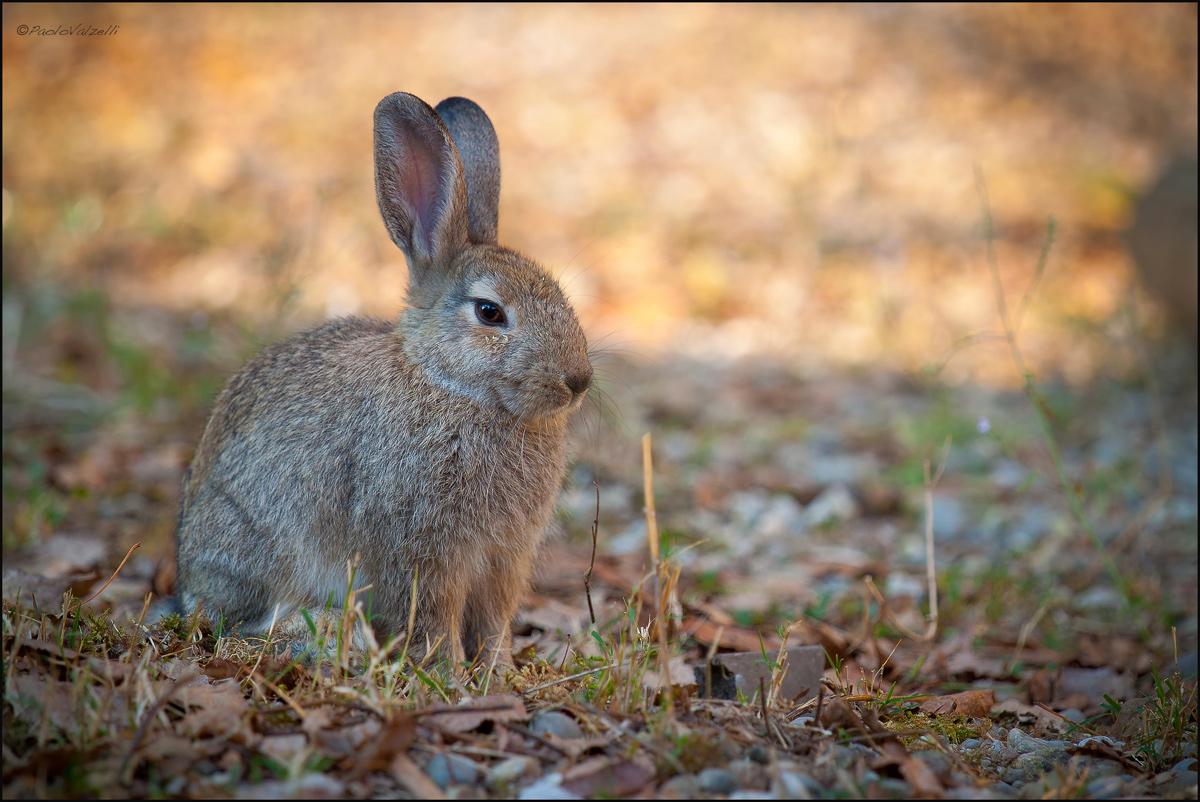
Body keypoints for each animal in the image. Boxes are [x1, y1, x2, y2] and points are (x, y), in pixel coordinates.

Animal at [174, 92, 594, 667]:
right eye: (489, 312)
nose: (579, 380)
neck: (449, 386)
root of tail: (186, 570)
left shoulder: (503, 559)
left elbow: (493, 621)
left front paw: (499, 671)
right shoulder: (421, 548)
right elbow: (433, 618)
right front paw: (449, 673)